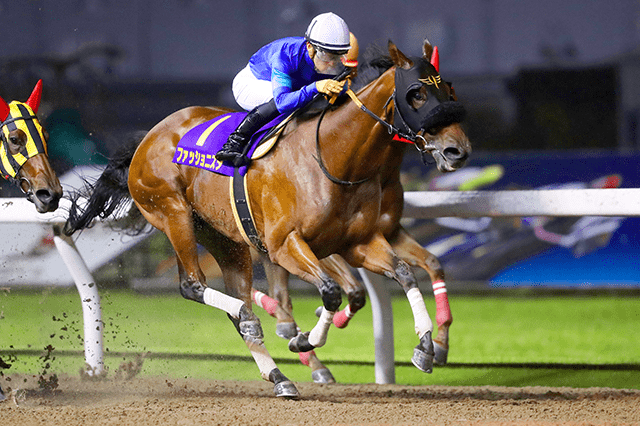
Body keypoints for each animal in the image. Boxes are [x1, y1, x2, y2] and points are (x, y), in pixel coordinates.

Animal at [64, 40, 470, 398]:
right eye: (416, 93)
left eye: (449, 88)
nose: (458, 150)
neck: (335, 157)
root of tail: (147, 139)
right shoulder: (287, 245)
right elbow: (333, 291)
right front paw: (305, 338)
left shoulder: (360, 242)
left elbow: (404, 273)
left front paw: (426, 346)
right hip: (174, 213)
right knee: (194, 286)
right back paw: (259, 320)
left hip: (223, 238)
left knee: (232, 297)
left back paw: (278, 375)